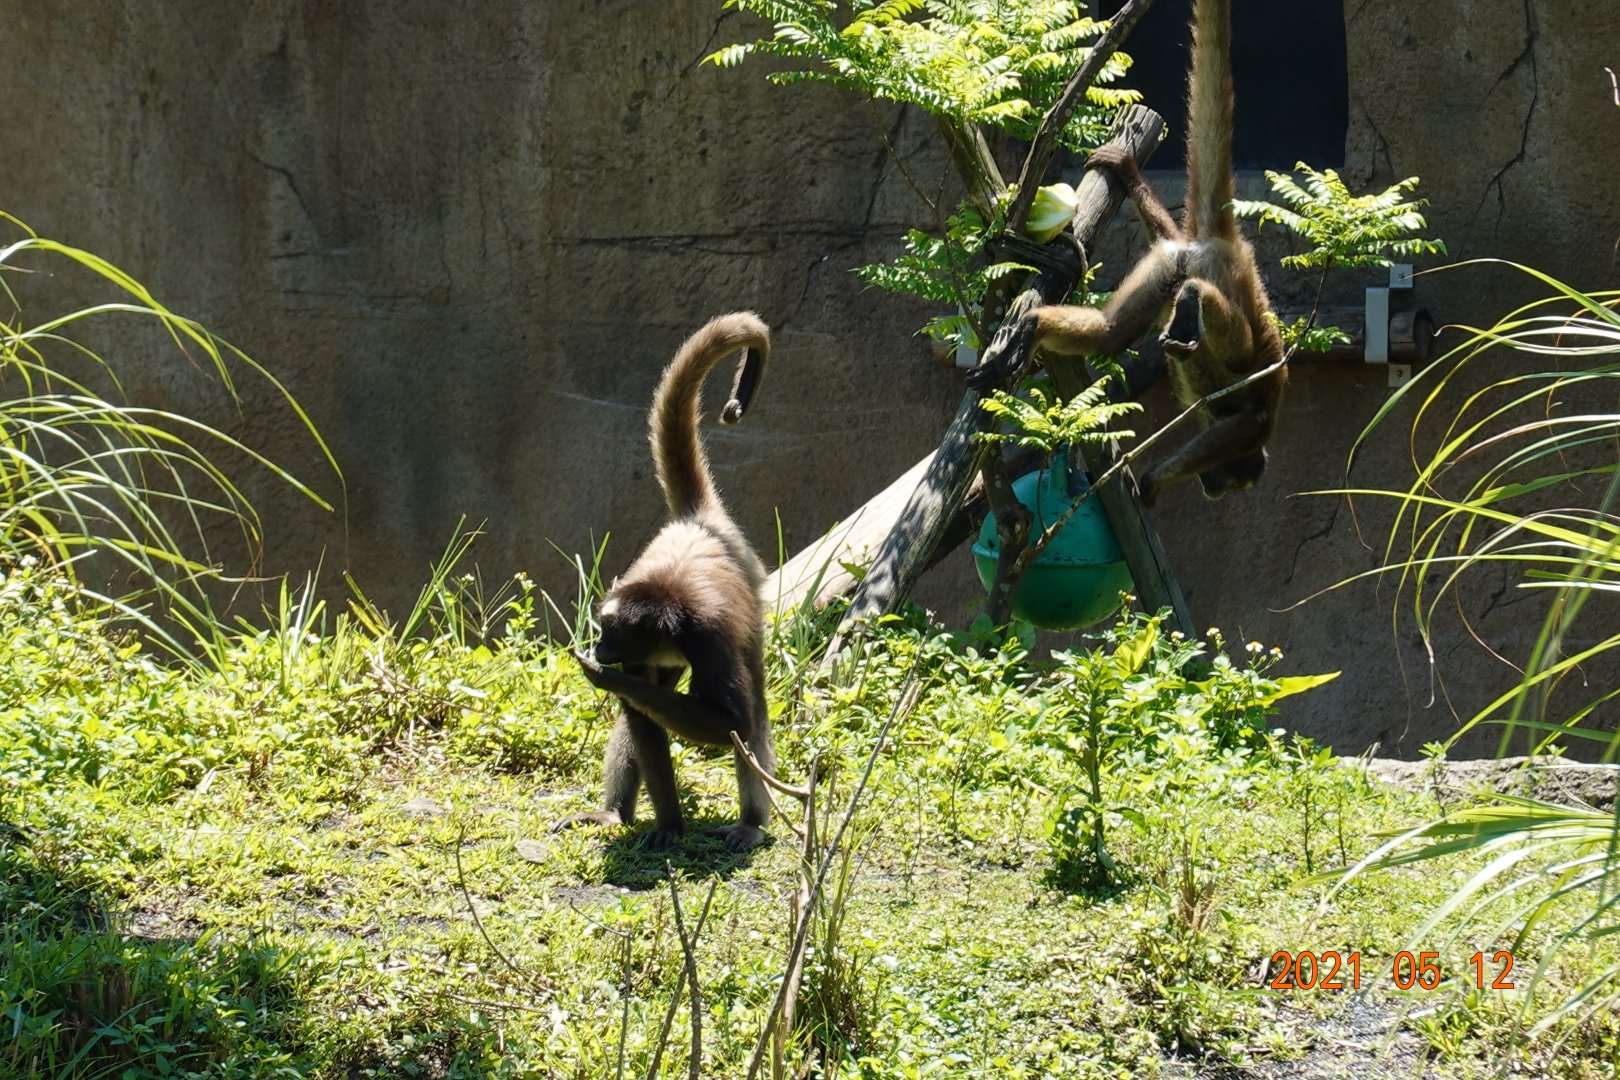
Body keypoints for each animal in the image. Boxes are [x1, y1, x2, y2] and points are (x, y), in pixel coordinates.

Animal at [555, 311, 776, 852]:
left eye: (610, 632)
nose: (600, 646)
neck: (670, 603)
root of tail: (698, 521)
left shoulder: (709, 635)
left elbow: (732, 722)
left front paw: (606, 678)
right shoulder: (643, 653)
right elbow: (641, 718)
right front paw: (669, 825)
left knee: (753, 712)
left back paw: (751, 823)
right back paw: (616, 813)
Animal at [974, 0, 1285, 507]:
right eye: (1233, 481)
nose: (1213, 490)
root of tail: (1233, 248)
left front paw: (1128, 172)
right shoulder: (1247, 431)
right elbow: (1246, 422)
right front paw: (1154, 480)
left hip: (1170, 262)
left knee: (1109, 333)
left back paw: (1034, 326)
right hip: (1218, 284)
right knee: (1233, 343)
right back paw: (1193, 300)